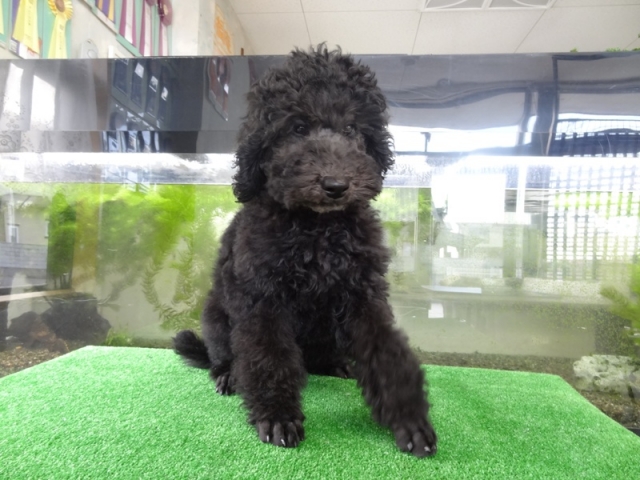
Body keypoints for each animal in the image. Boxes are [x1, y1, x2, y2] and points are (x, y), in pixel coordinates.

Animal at [173, 46, 437, 457]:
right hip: (216, 317)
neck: (318, 231)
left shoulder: (363, 294)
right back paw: (228, 375)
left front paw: (409, 419)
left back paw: (338, 365)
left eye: (352, 129)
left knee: (318, 358)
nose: (336, 185)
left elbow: (387, 353)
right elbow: (268, 356)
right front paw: (277, 417)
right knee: (225, 355)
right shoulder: (262, 299)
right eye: (297, 128)